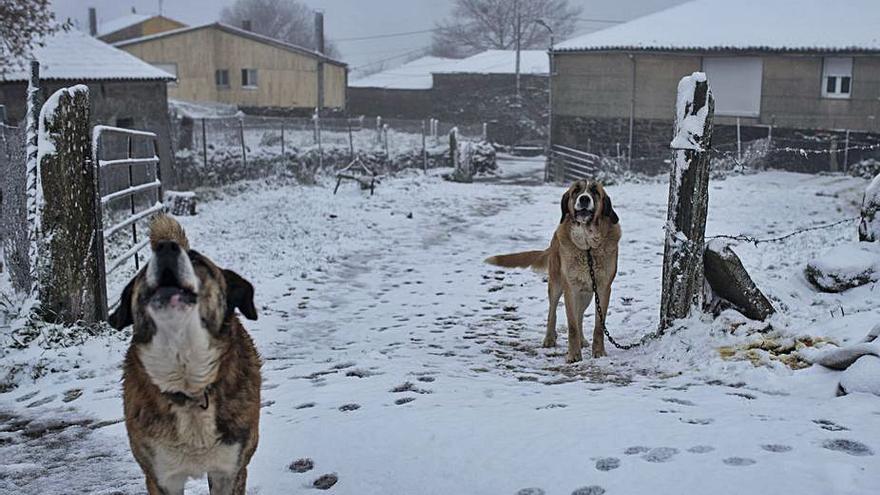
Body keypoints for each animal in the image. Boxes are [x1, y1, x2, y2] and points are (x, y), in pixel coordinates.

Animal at [484, 180, 624, 362]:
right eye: (576, 191)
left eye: (595, 191)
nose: (584, 199)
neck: (587, 247)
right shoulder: (570, 288)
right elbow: (571, 325)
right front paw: (574, 355)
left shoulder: (603, 289)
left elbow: (598, 326)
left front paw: (599, 352)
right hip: (557, 284)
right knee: (553, 312)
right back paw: (550, 338)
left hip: (586, 293)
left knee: (579, 315)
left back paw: (582, 340)